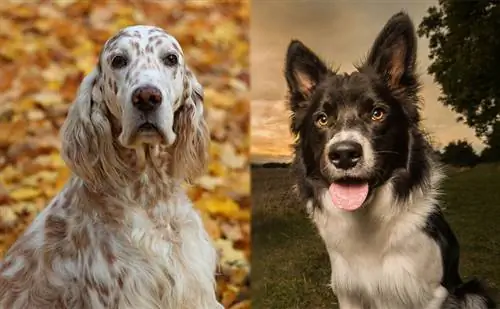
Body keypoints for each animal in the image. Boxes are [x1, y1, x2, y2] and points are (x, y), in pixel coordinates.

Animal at [286, 11, 496, 308]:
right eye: (322, 119)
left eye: (377, 113)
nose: (344, 154)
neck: (367, 225)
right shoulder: (349, 293)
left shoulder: (430, 294)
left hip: (473, 292)